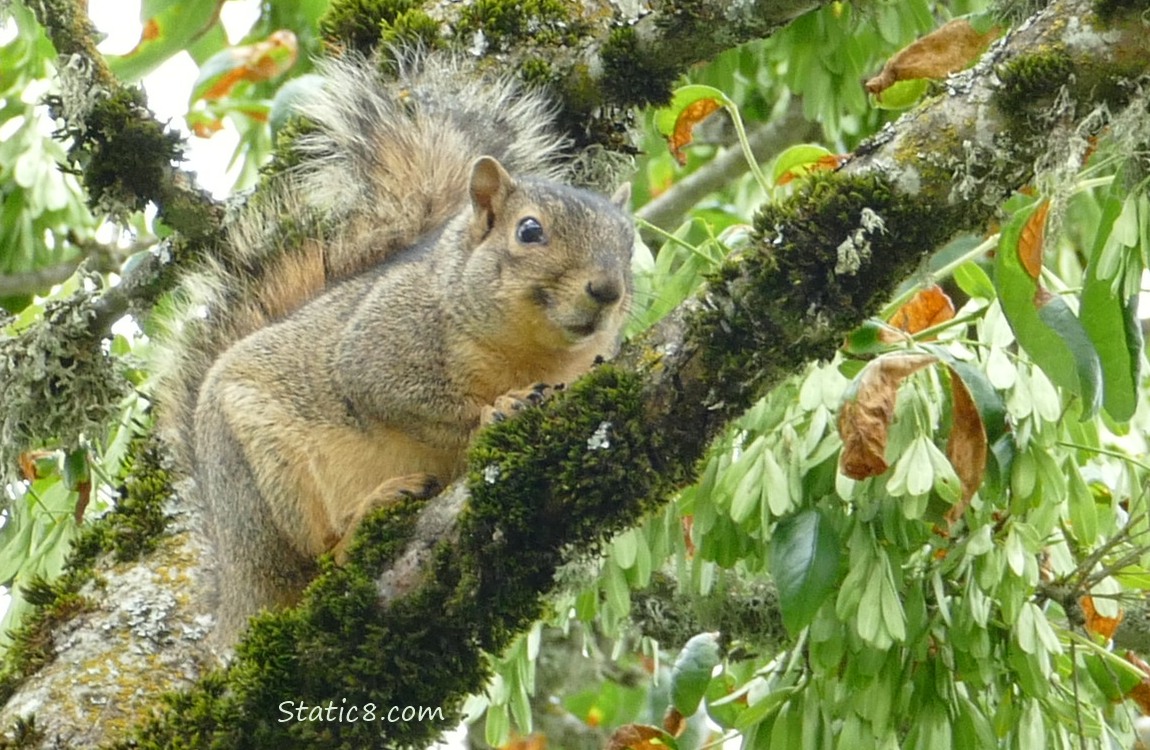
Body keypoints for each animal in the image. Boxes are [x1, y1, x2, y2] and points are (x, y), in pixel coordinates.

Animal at [157, 55, 634, 644]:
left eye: (630, 243)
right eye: (529, 231)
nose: (608, 290)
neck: (530, 354)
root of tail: (238, 594)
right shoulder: (384, 342)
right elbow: (396, 394)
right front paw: (498, 409)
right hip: (262, 476)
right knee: (316, 554)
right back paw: (365, 516)